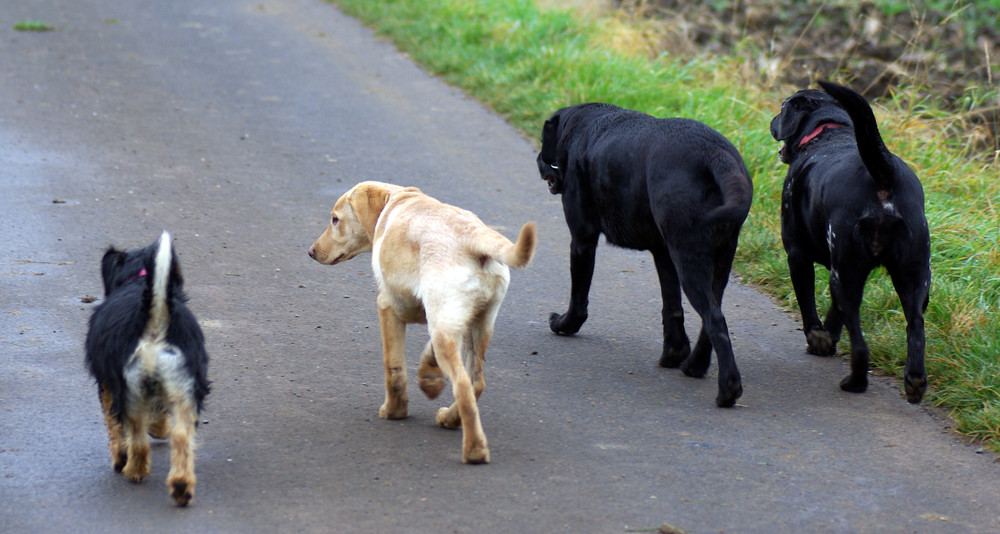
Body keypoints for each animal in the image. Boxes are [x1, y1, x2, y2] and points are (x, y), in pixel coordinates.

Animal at [85, 231, 210, 506]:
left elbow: (113, 426)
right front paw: (160, 429)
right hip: (184, 386)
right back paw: (181, 486)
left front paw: (120, 457)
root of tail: (155, 325)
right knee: (181, 436)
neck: (138, 278)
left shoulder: (107, 387)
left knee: (138, 439)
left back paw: (134, 470)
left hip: (130, 391)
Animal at [536, 103, 752, 406]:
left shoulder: (582, 239)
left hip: (690, 259)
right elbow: (671, 307)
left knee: (716, 320)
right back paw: (694, 366)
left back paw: (728, 390)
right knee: (712, 317)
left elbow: (578, 296)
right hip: (719, 260)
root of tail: (713, 152)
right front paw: (673, 353)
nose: (538, 159)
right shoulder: (662, 253)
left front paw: (564, 324)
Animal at [768, 81, 932, 404]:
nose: (772, 120)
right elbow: (835, 315)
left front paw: (817, 338)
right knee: (916, 327)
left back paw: (855, 381)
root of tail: (884, 173)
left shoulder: (797, 254)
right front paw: (827, 340)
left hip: (844, 272)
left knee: (859, 342)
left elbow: (808, 304)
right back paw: (915, 382)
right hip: (915, 275)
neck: (829, 131)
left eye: (783, 106)